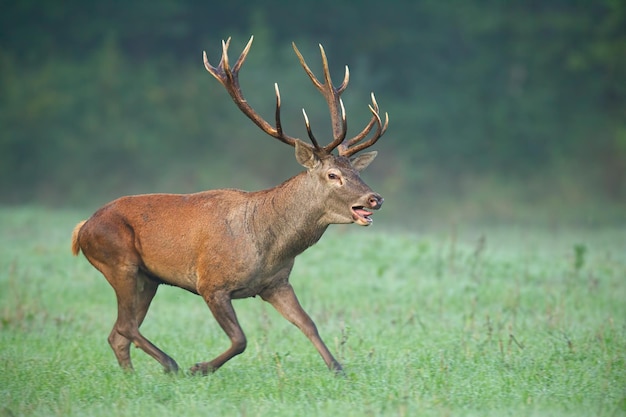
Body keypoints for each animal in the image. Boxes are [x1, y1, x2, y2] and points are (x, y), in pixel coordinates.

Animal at [72, 36, 386, 374]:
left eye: (358, 172)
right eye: (333, 175)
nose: (375, 198)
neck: (270, 245)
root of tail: (82, 229)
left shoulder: (276, 283)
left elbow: (308, 324)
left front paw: (338, 369)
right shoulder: (210, 283)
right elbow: (240, 339)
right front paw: (200, 367)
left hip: (148, 278)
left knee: (117, 334)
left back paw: (135, 375)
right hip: (118, 261)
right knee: (125, 326)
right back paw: (171, 364)